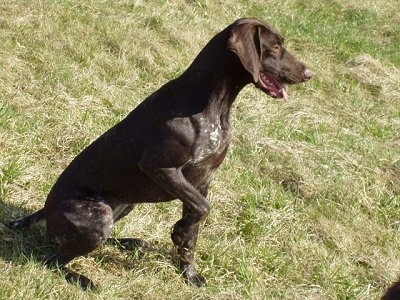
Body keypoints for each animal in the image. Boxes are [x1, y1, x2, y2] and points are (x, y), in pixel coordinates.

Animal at [7, 18, 312, 288]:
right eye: (274, 47)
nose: (309, 74)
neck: (214, 105)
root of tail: (46, 211)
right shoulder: (161, 168)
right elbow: (202, 209)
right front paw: (179, 232)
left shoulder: (204, 179)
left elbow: (195, 228)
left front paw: (188, 272)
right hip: (99, 214)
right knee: (54, 260)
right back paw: (83, 279)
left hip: (125, 204)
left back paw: (131, 243)